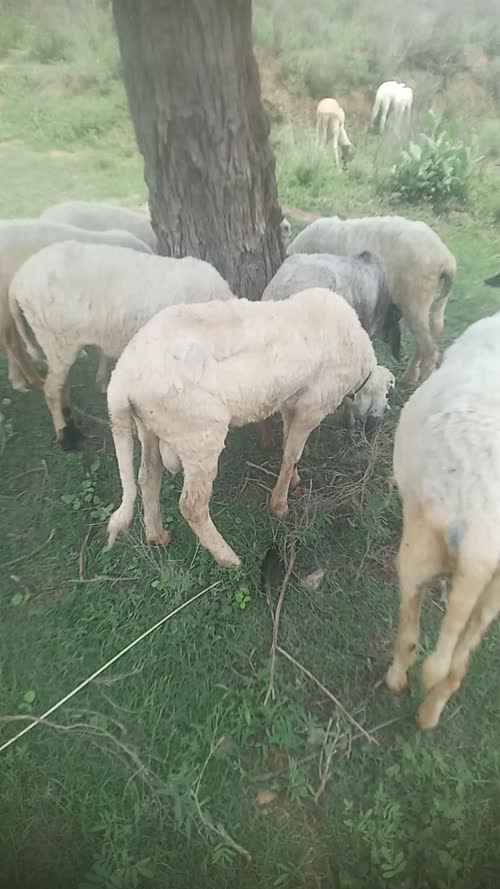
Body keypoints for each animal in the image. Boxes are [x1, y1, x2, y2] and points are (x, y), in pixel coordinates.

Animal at [106, 288, 395, 567]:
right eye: (387, 392)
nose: (377, 425)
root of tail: (122, 380)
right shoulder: (312, 406)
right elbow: (292, 454)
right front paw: (279, 505)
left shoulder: (291, 400)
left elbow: (288, 442)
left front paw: (293, 481)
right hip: (199, 434)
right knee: (192, 506)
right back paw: (228, 558)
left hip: (150, 426)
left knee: (148, 476)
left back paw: (157, 536)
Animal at [386, 310, 500, 729]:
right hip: (491, 595)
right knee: (455, 667)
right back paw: (428, 715)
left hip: (417, 552)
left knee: (409, 636)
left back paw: (397, 681)